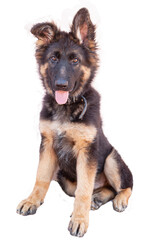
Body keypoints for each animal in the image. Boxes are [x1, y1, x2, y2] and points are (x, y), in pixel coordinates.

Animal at [16, 8, 133, 237]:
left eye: (75, 61)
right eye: (53, 58)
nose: (61, 85)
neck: (67, 107)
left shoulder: (87, 151)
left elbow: (83, 190)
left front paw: (79, 219)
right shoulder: (47, 144)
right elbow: (41, 177)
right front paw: (32, 201)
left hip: (111, 159)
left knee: (124, 186)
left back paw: (118, 199)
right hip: (63, 176)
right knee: (103, 189)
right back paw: (98, 198)